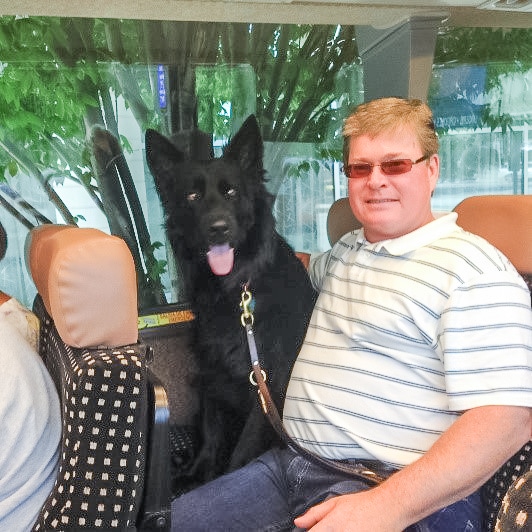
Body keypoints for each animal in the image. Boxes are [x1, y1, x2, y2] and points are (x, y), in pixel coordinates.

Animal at [144, 116, 316, 486]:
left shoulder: (267, 386)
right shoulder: (213, 374)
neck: (238, 288)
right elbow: (211, 435)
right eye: (192, 195)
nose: (218, 229)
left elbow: (241, 452)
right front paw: (197, 473)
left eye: (232, 192)